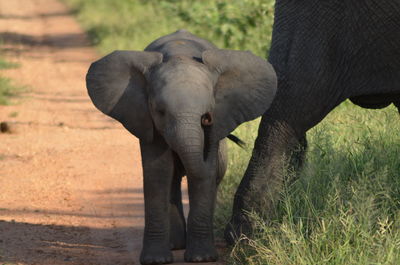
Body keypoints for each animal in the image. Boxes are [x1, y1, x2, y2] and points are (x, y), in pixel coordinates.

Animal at [86, 29, 276, 262]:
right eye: (160, 112)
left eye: (207, 114)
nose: (208, 123)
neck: (180, 54)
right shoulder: (147, 120)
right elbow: (158, 172)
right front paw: (156, 260)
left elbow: (204, 174)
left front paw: (202, 258)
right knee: (172, 178)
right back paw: (175, 245)